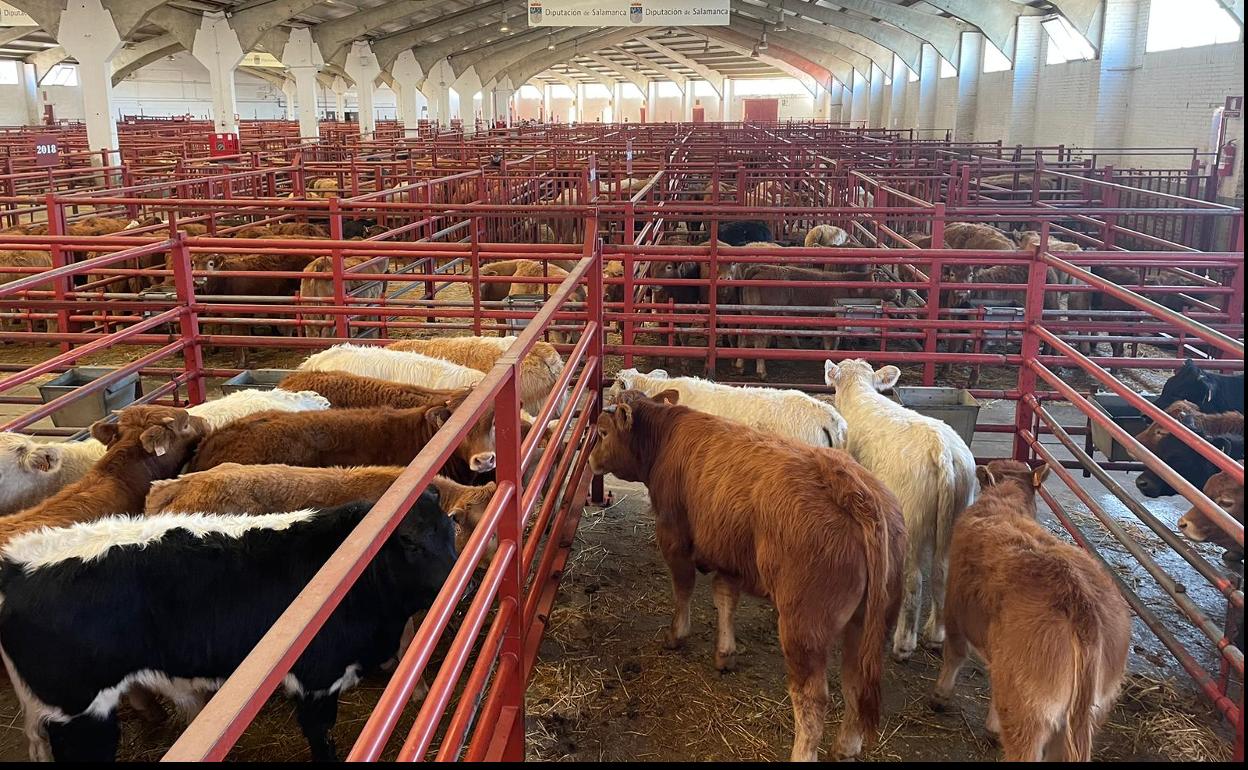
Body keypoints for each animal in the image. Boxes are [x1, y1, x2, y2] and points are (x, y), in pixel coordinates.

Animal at [0, 489, 459, 758]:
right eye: (410, 542)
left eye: (452, 527)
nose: (461, 578)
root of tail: (19, 563)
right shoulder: (316, 678)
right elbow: (320, 735)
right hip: (78, 711)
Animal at [589, 386, 903, 758]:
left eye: (602, 432)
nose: (590, 459)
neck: (665, 437)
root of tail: (852, 487)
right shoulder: (729, 554)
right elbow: (725, 597)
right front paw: (725, 653)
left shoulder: (673, 535)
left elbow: (683, 588)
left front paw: (676, 635)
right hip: (869, 622)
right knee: (856, 681)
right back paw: (846, 746)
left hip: (804, 626)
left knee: (812, 699)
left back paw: (802, 752)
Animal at [823, 356, 978, 658]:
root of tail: (942, 450)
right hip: (955, 517)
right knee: (943, 573)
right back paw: (936, 634)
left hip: (912, 521)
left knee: (914, 581)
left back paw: (904, 642)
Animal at [938, 459, 1133, 758]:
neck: (1005, 505)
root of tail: (1080, 603)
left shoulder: (955, 610)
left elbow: (954, 654)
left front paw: (940, 695)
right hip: (1089, 714)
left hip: (1029, 709)